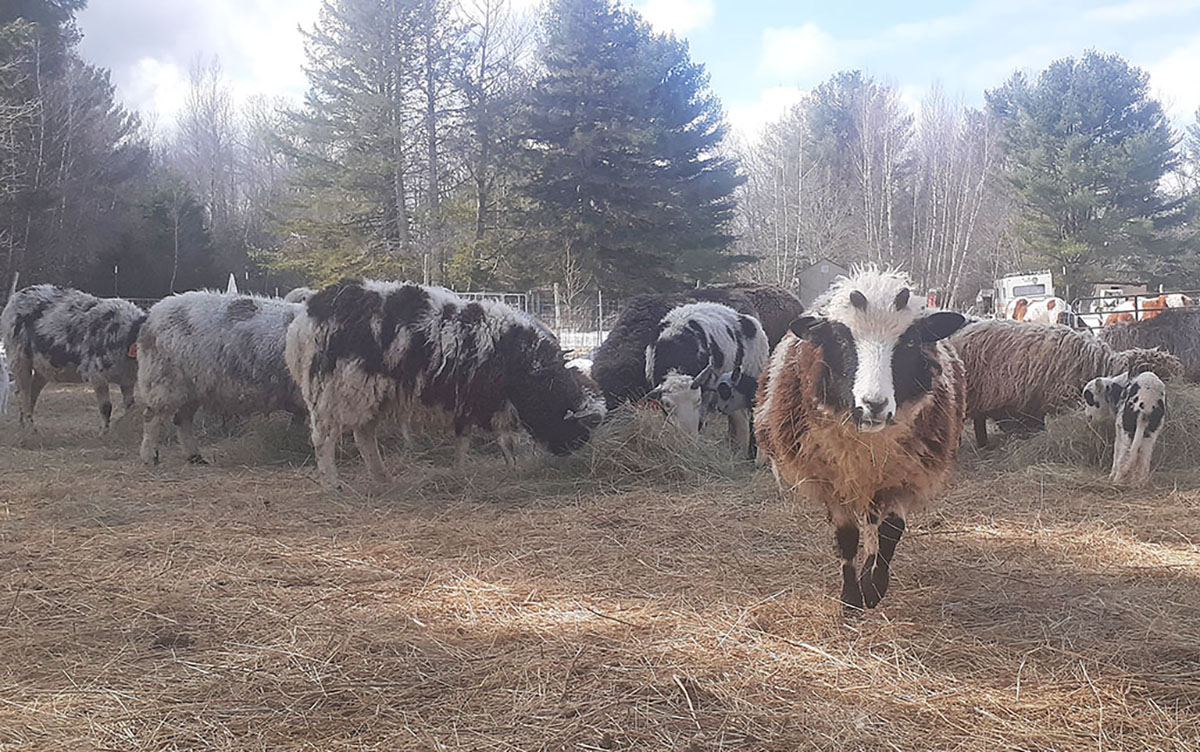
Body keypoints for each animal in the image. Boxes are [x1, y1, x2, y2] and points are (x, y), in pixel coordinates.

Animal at [0, 284, 145, 432]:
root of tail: (16, 297)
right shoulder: (97, 376)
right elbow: (106, 408)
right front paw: (104, 433)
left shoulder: (127, 380)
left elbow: (130, 407)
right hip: (19, 359)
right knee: (23, 393)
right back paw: (30, 428)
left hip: (43, 367)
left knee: (31, 392)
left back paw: (25, 425)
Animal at [136, 292, 306, 466]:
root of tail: (151, 316)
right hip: (164, 380)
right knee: (152, 417)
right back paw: (150, 457)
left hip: (194, 387)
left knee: (182, 419)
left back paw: (195, 457)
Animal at [285, 279, 606, 491]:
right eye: (580, 427)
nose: (568, 454)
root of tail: (307, 317)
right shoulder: (493, 400)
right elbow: (506, 441)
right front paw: (514, 469)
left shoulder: (469, 399)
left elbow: (463, 438)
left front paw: (460, 470)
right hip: (335, 392)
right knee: (324, 440)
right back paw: (331, 485)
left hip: (369, 393)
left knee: (364, 436)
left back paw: (382, 477)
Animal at [755, 267, 968, 612]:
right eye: (841, 338)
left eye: (910, 341)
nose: (874, 404)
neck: (869, 441)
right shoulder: (831, 479)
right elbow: (847, 536)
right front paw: (851, 598)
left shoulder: (904, 475)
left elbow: (890, 531)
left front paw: (873, 587)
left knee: (873, 523)